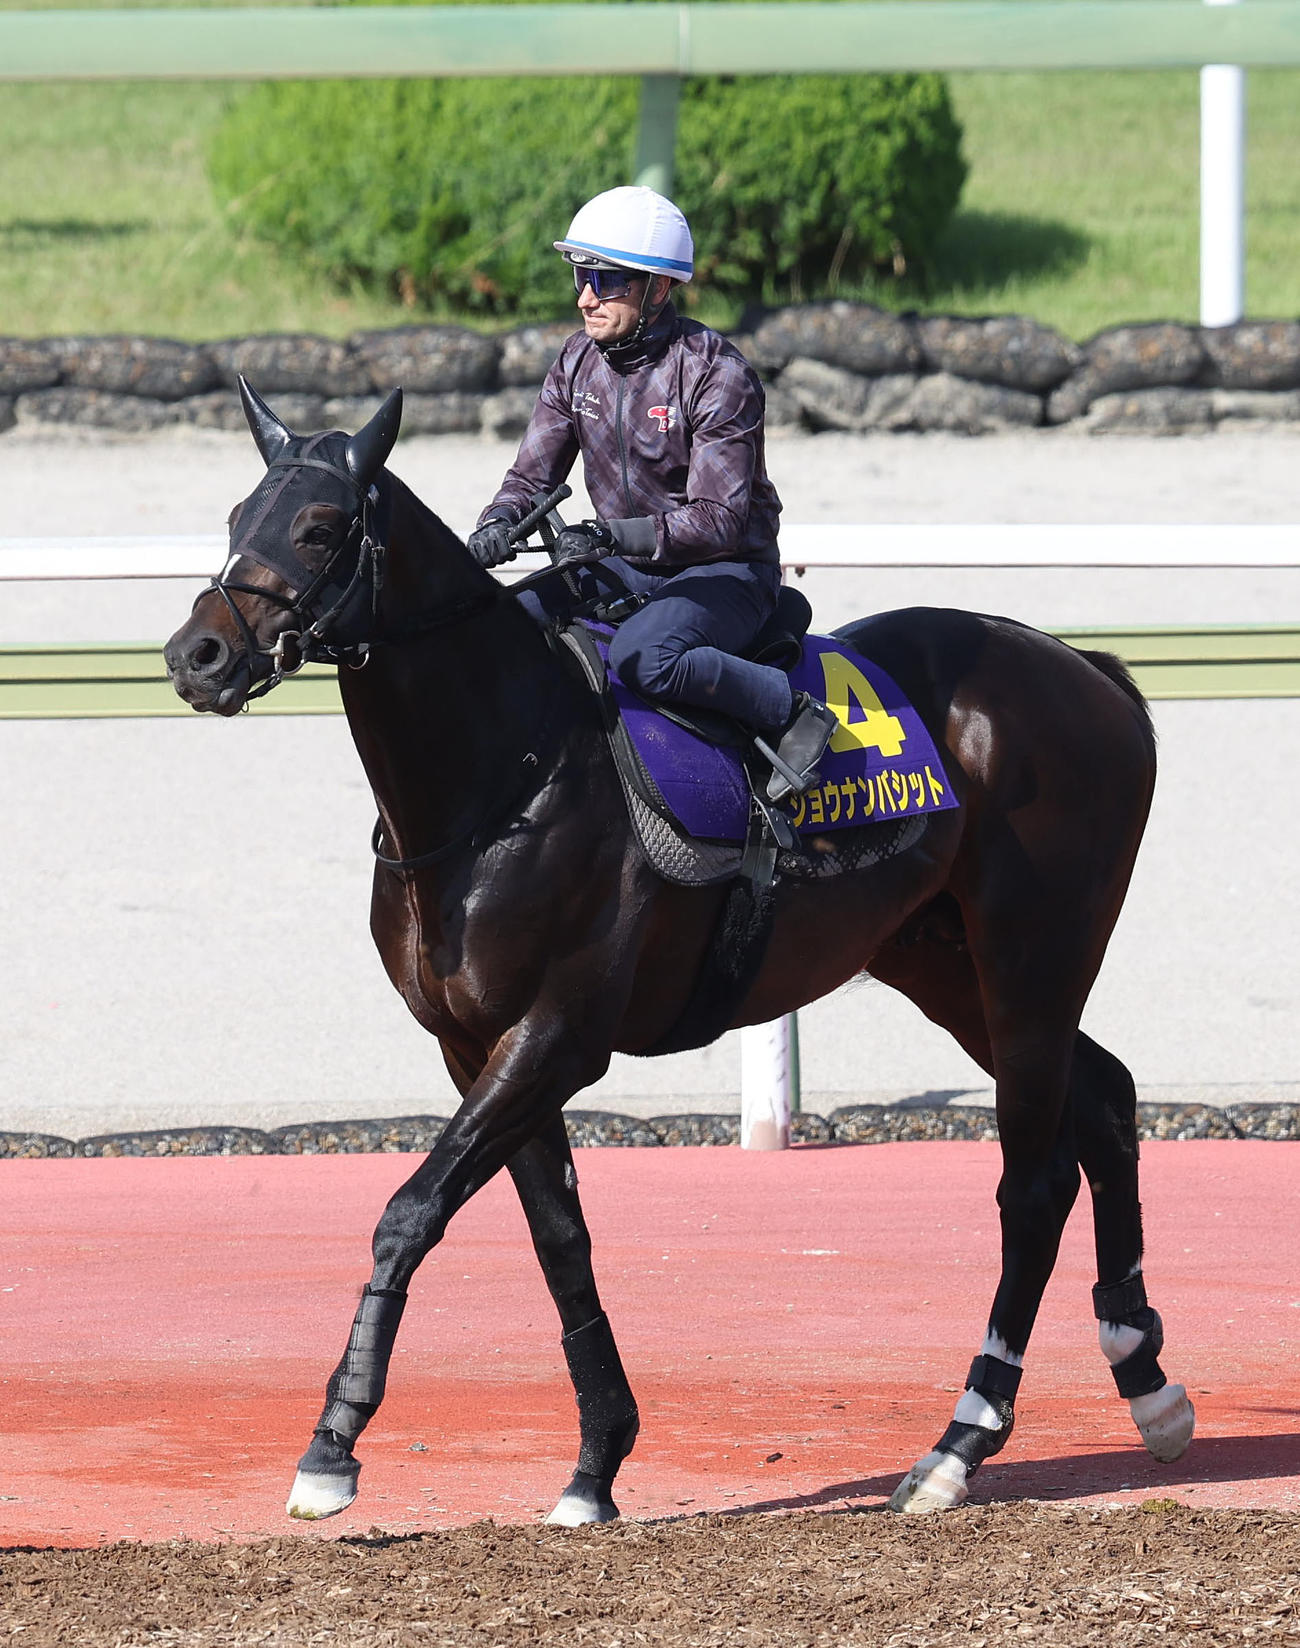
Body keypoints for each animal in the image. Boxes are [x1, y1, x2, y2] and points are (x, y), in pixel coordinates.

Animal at [164, 382, 1194, 1526]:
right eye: (235, 516)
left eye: (319, 525)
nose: (196, 655)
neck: (504, 770)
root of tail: (1088, 670)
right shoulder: (476, 1045)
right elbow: (558, 1239)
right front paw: (595, 1461)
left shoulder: (559, 1035)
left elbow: (409, 1212)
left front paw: (333, 1444)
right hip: (943, 961)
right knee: (1103, 1095)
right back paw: (1145, 1376)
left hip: (1031, 958)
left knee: (1034, 1182)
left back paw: (960, 1441)